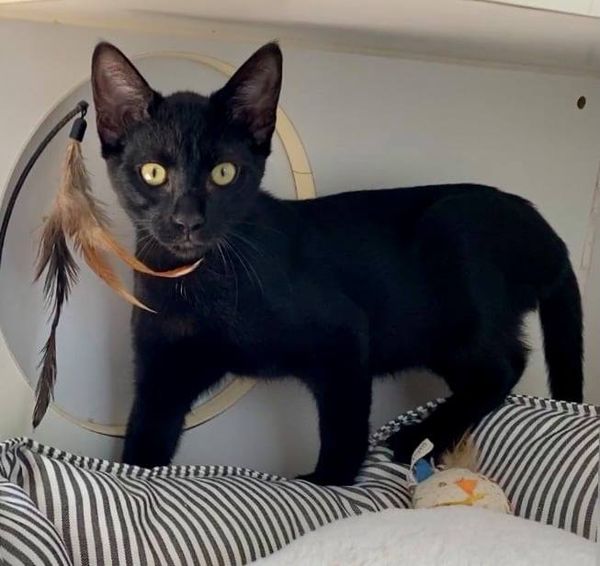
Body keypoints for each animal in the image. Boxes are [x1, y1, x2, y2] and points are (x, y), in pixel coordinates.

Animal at [91, 42, 584, 486]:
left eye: (224, 173)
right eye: (153, 172)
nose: (188, 220)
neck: (196, 283)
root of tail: (546, 234)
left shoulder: (345, 337)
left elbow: (343, 426)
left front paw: (329, 482)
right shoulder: (163, 373)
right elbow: (144, 440)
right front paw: (133, 475)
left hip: (453, 249)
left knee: (504, 368)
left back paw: (415, 437)